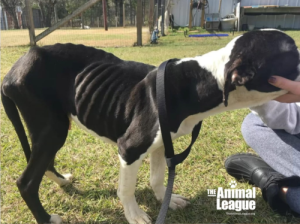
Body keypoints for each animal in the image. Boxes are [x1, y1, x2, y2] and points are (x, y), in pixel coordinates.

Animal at [2, 30, 300, 224]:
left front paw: (167, 199)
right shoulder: (130, 148)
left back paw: (62, 181)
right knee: (26, 182)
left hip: (51, 127)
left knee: (43, 162)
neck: (205, 79)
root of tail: (15, 68)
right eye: (294, 55)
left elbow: (158, 178)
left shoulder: (161, 144)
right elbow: (126, 188)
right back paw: (46, 218)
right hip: (52, 128)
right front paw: (134, 215)